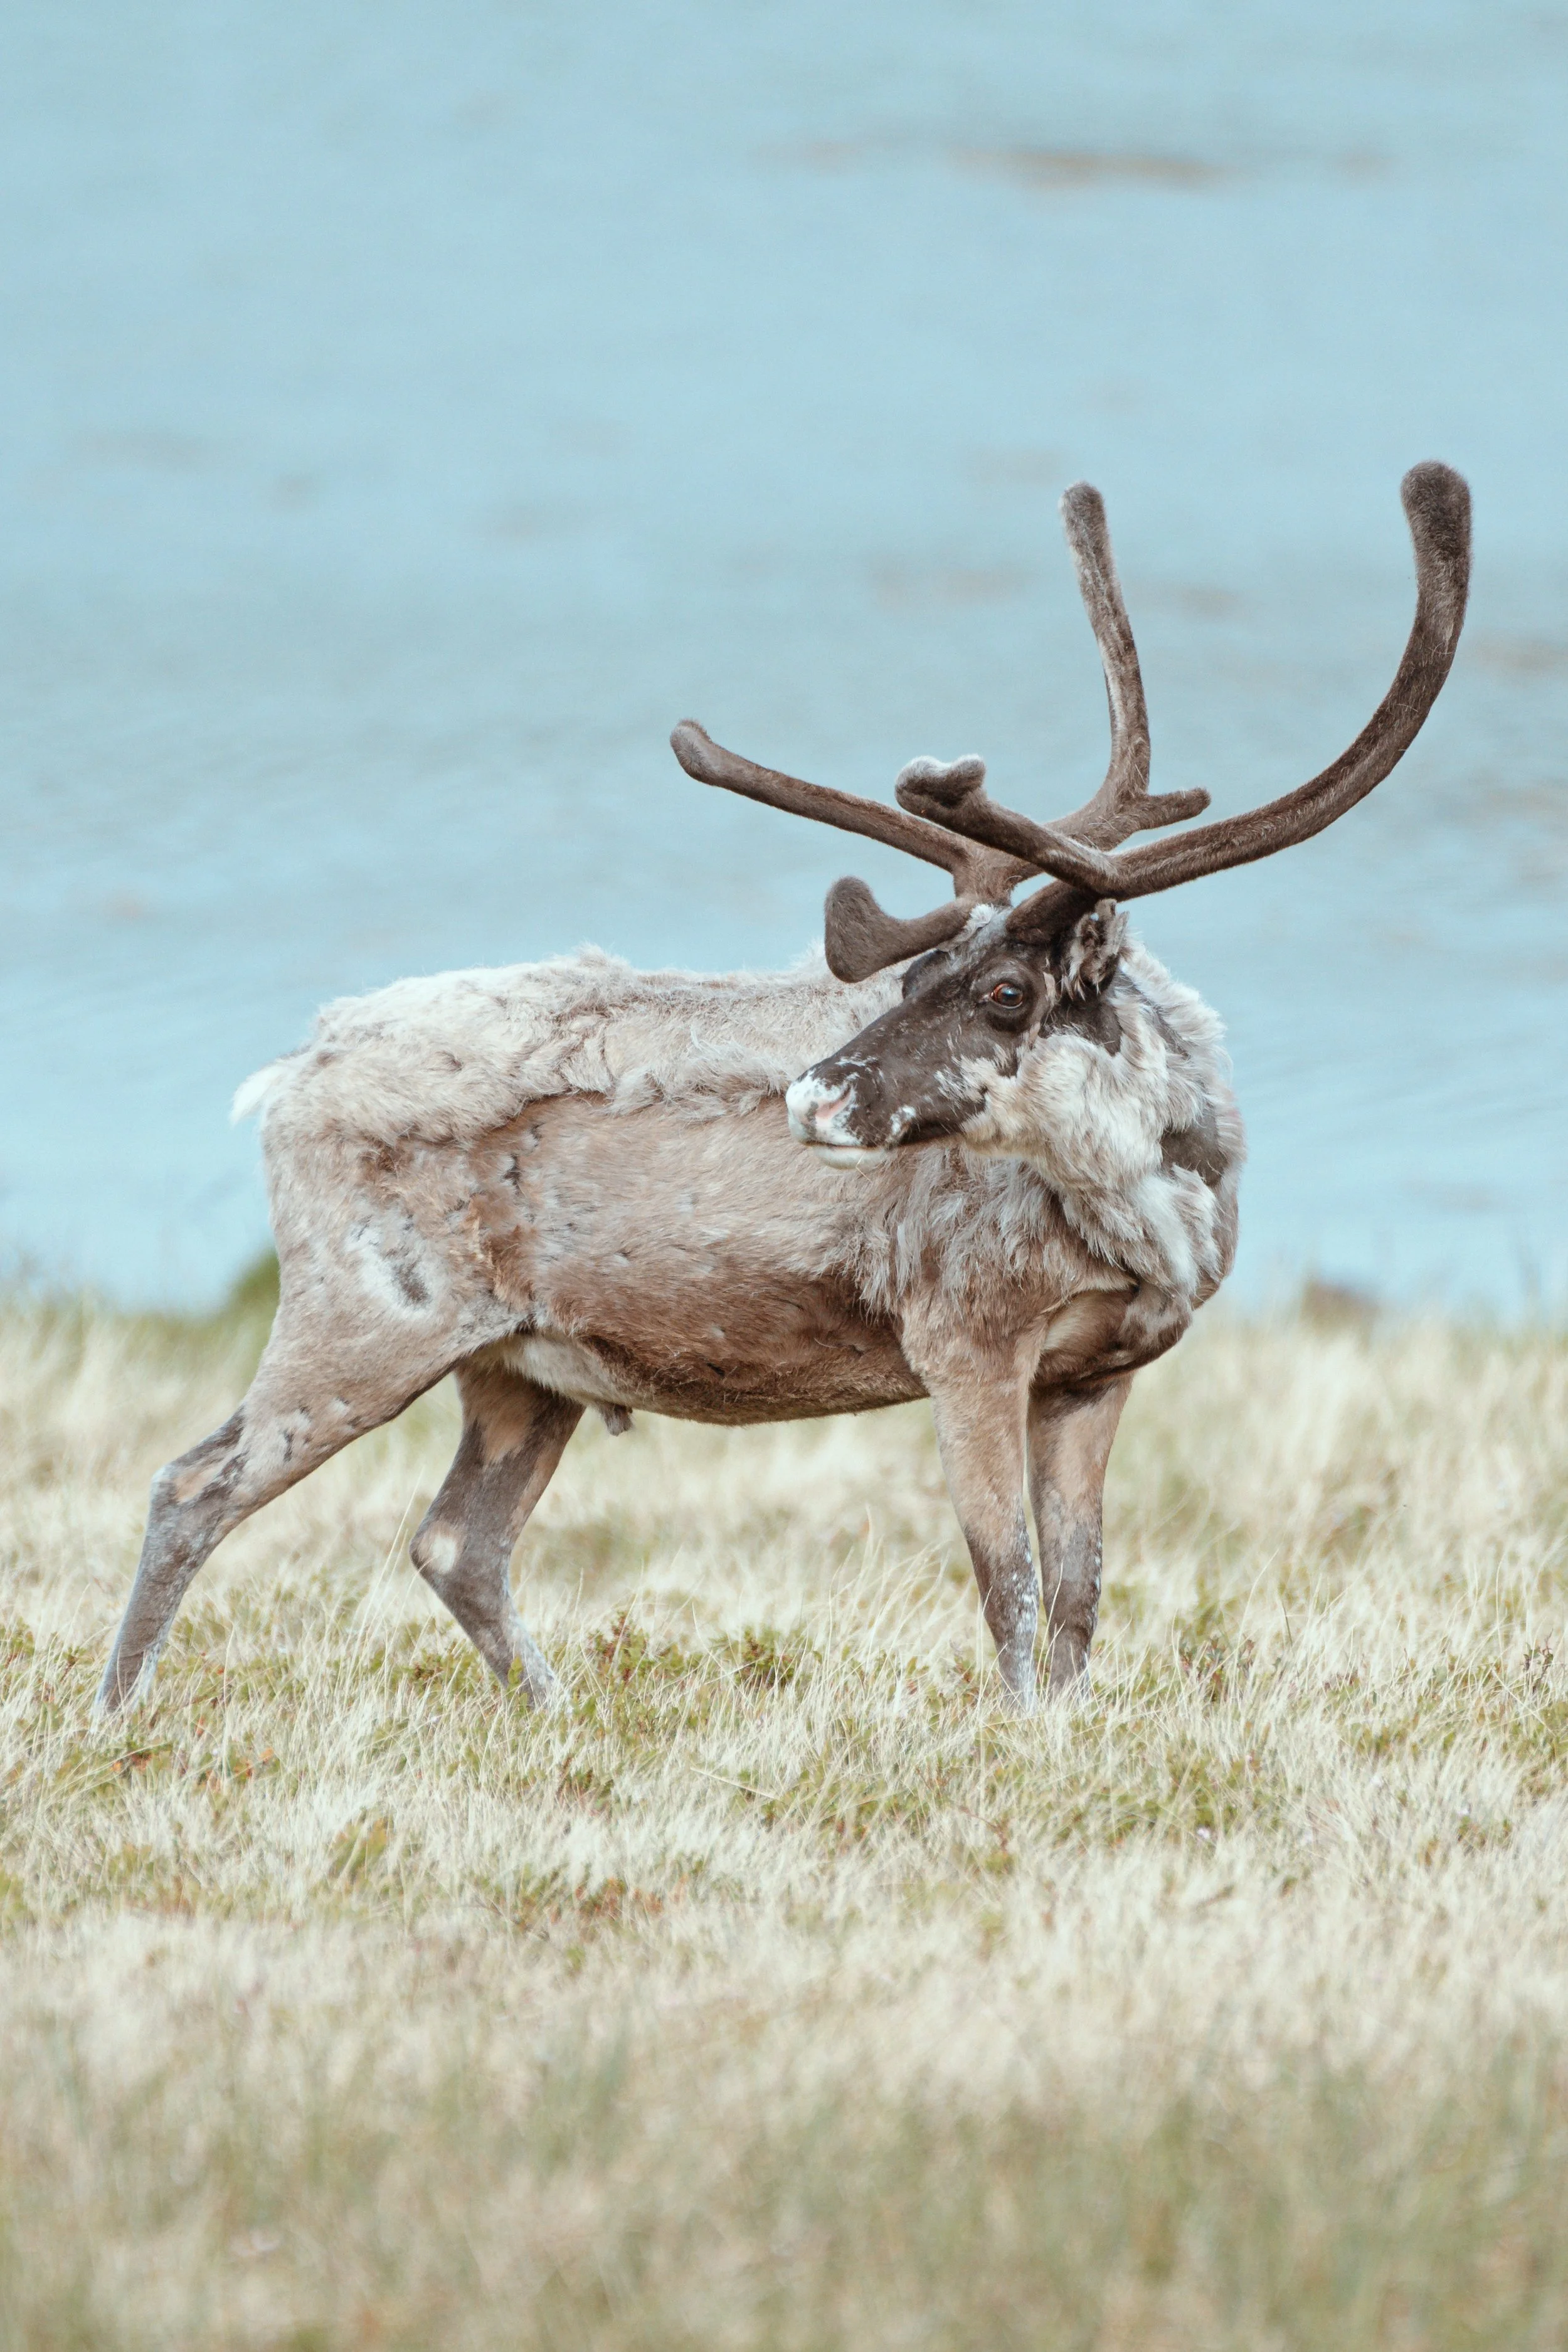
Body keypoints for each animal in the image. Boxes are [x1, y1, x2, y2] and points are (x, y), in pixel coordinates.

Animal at [97, 462, 1470, 1717]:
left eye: (1001, 991)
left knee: (455, 1543)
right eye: (916, 970)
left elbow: (1080, 1591)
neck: (1152, 1197)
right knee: (194, 1485)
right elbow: (1009, 1582)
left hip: (519, 1365)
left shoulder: (1096, 1375)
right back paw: (118, 1713)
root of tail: (290, 1074)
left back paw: (558, 1716)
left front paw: (1075, 1727)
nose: (814, 1095)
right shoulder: (965, 1343)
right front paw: (1026, 1738)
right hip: (363, 1319)